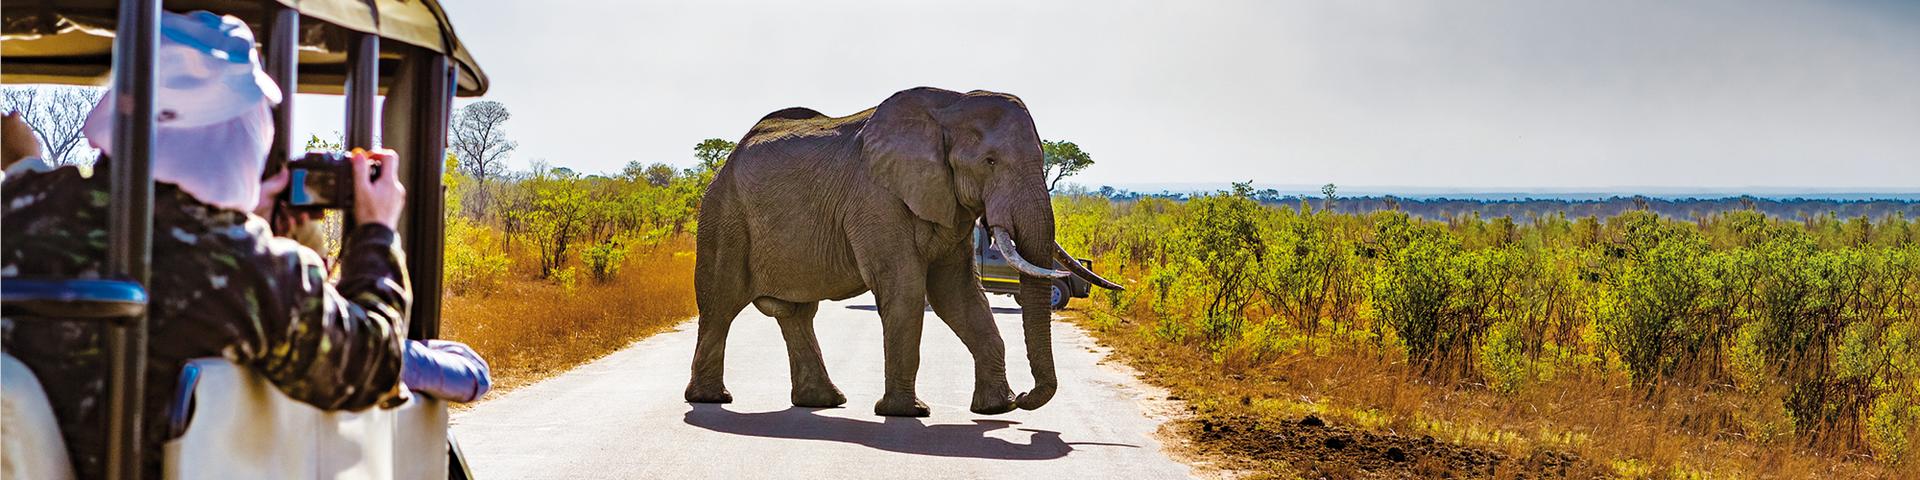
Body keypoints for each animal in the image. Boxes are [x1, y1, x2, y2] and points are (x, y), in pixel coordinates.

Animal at [685, 87, 1123, 417]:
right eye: (990, 161)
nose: (1027, 398)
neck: (949, 108)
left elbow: (959, 295)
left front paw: (995, 409)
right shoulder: (876, 199)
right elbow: (906, 290)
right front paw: (908, 413)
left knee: (795, 314)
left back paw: (824, 401)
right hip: (724, 215)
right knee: (721, 303)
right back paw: (711, 399)